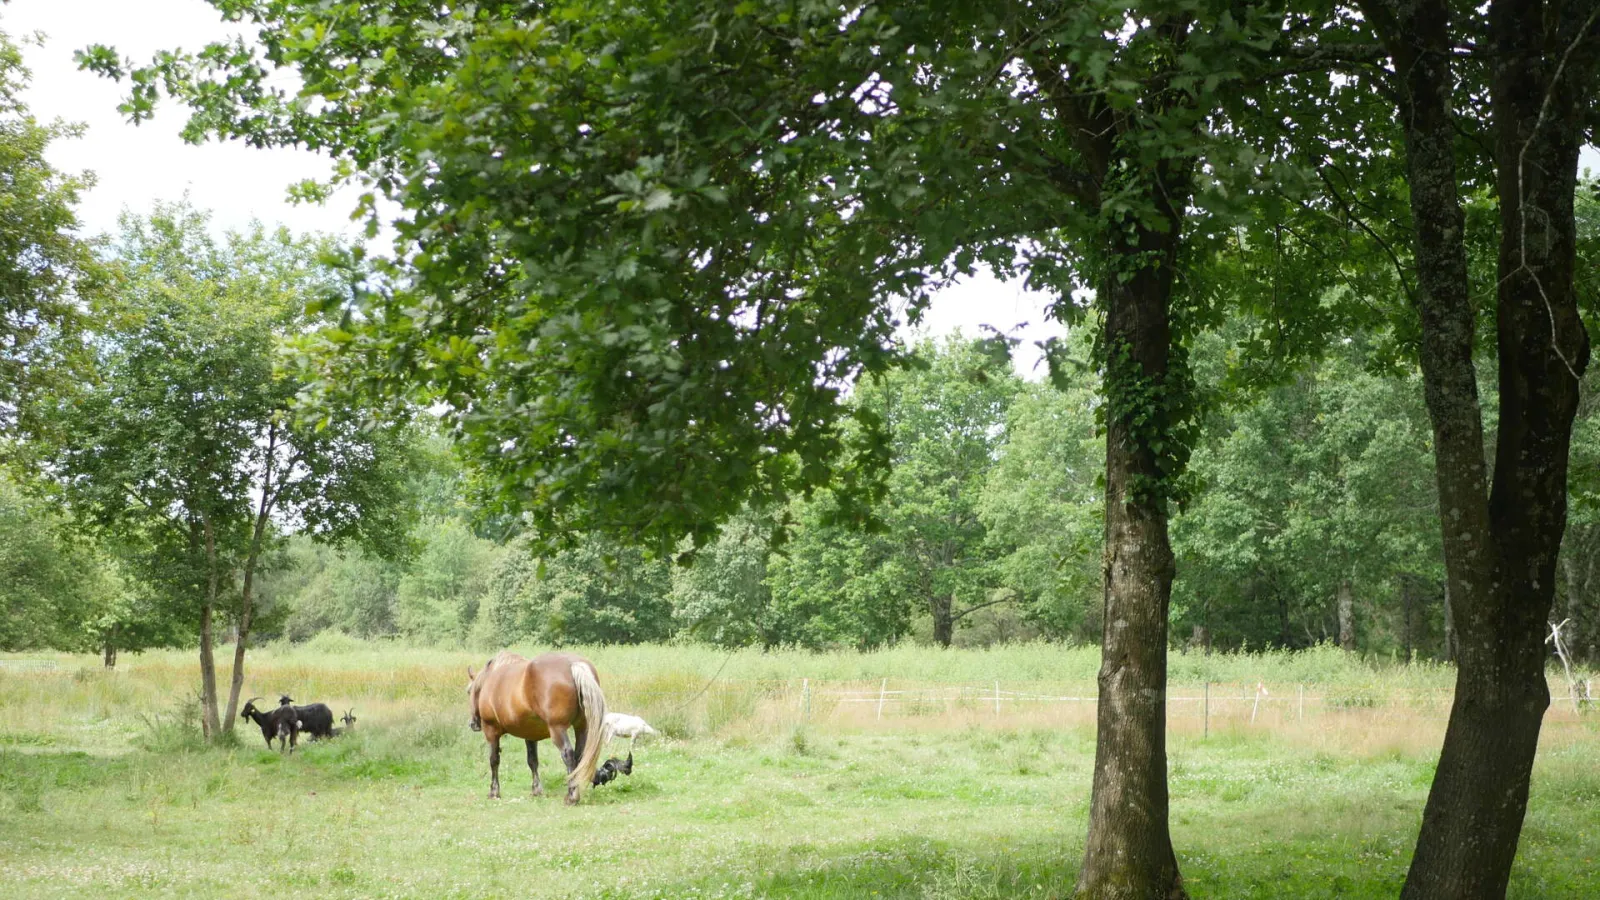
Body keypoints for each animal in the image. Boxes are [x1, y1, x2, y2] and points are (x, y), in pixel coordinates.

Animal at [465, 651, 609, 805]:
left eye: (469, 691)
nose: (473, 724)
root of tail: (574, 664)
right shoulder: (530, 735)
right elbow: (532, 761)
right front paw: (536, 790)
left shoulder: (491, 731)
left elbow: (494, 760)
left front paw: (494, 792)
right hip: (582, 727)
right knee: (579, 755)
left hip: (558, 729)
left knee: (568, 755)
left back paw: (572, 796)